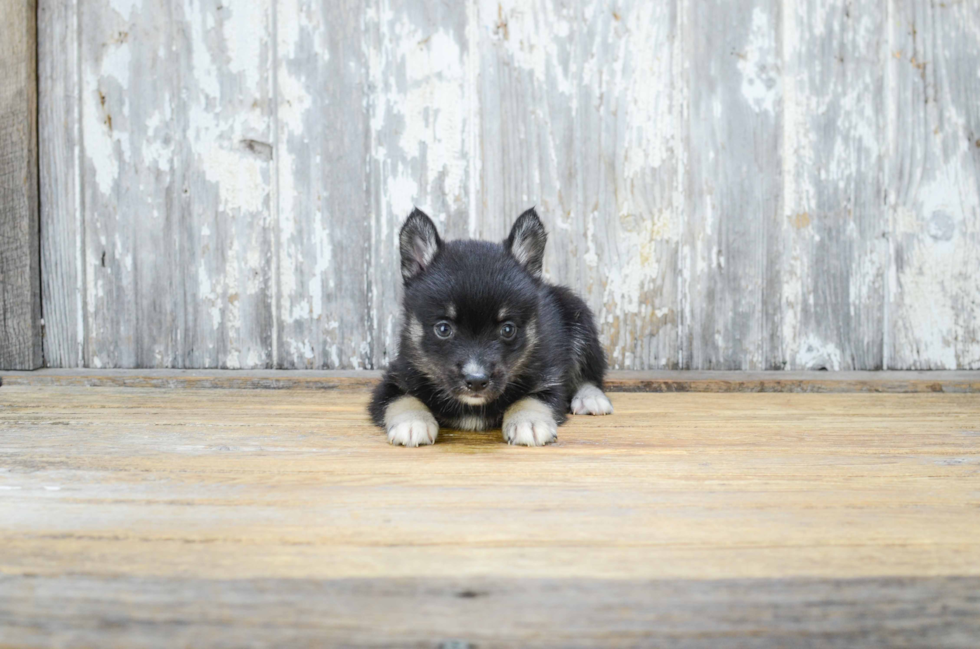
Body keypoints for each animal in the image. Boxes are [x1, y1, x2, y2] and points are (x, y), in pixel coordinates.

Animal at [370, 208, 612, 446]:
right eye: (443, 329)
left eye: (508, 329)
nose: (476, 381)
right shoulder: (393, 379)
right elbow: (402, 399)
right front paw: (412, 423)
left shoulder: (548, 378)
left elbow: (533, 397)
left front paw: (528, 421)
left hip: (581, 322)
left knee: (590, 376)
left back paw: (591, 399)